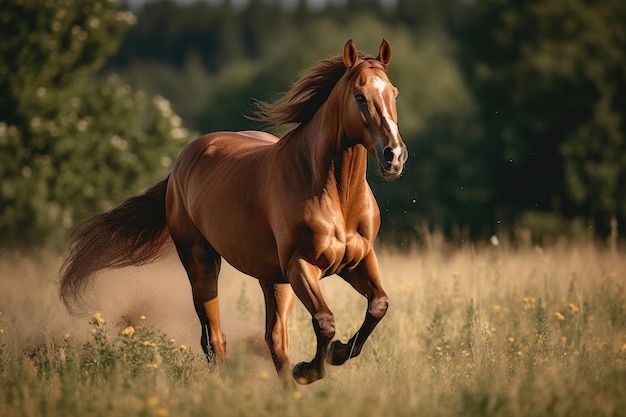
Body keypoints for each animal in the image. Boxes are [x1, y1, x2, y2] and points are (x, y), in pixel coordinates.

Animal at [58, 39, 408, 384]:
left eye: (394, 94)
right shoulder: (302, 265)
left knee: (274, 338)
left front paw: (337, 353)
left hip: (272, 278)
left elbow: (379, 305)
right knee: (214, 337)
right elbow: (325, 321)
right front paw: (308, 370)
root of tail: (182, 163)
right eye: (360, 96)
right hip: (202, 262)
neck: (334, 195)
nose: (394, 155)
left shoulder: (357, 261)